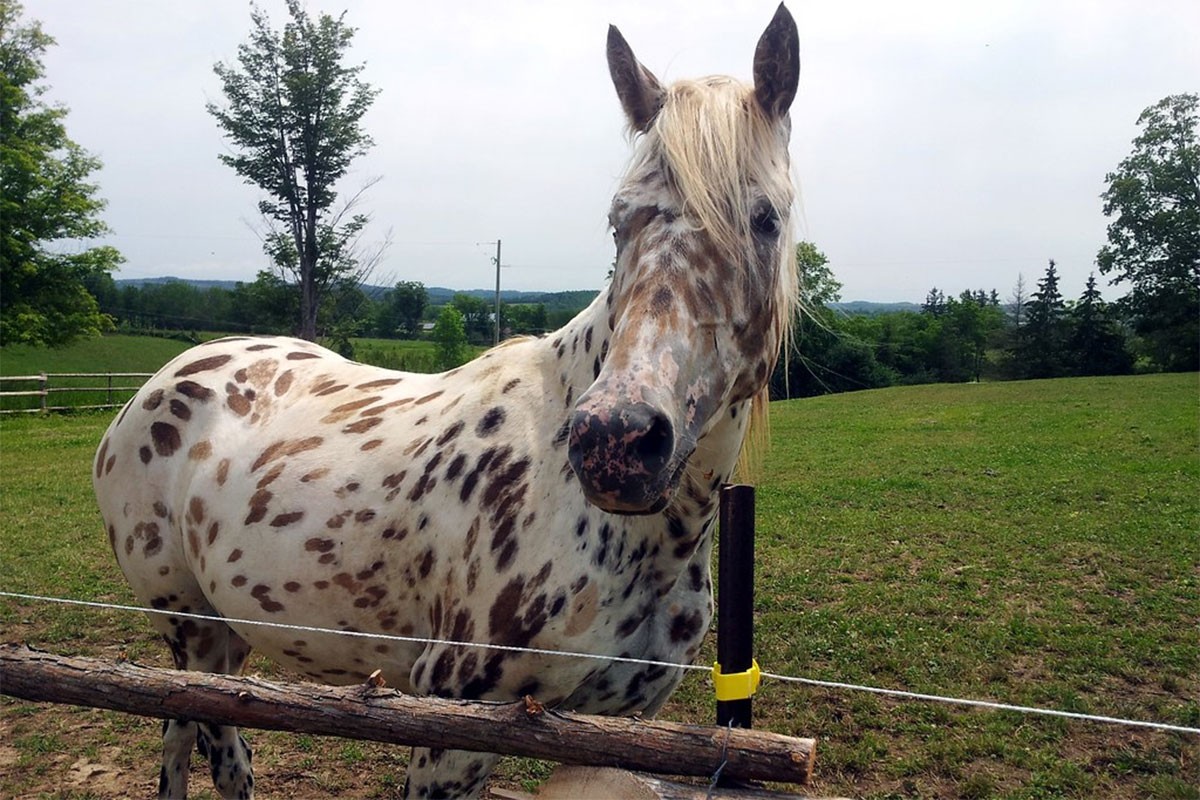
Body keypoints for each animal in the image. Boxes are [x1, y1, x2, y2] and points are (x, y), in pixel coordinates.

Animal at [93, 4, 801, 796]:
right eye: (620, 222)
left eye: (766, 218)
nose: (615, 442)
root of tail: (159, 383)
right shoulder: (453, 728)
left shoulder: (622, 731)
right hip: (189, 629)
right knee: (202, 742)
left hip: (226, 634)